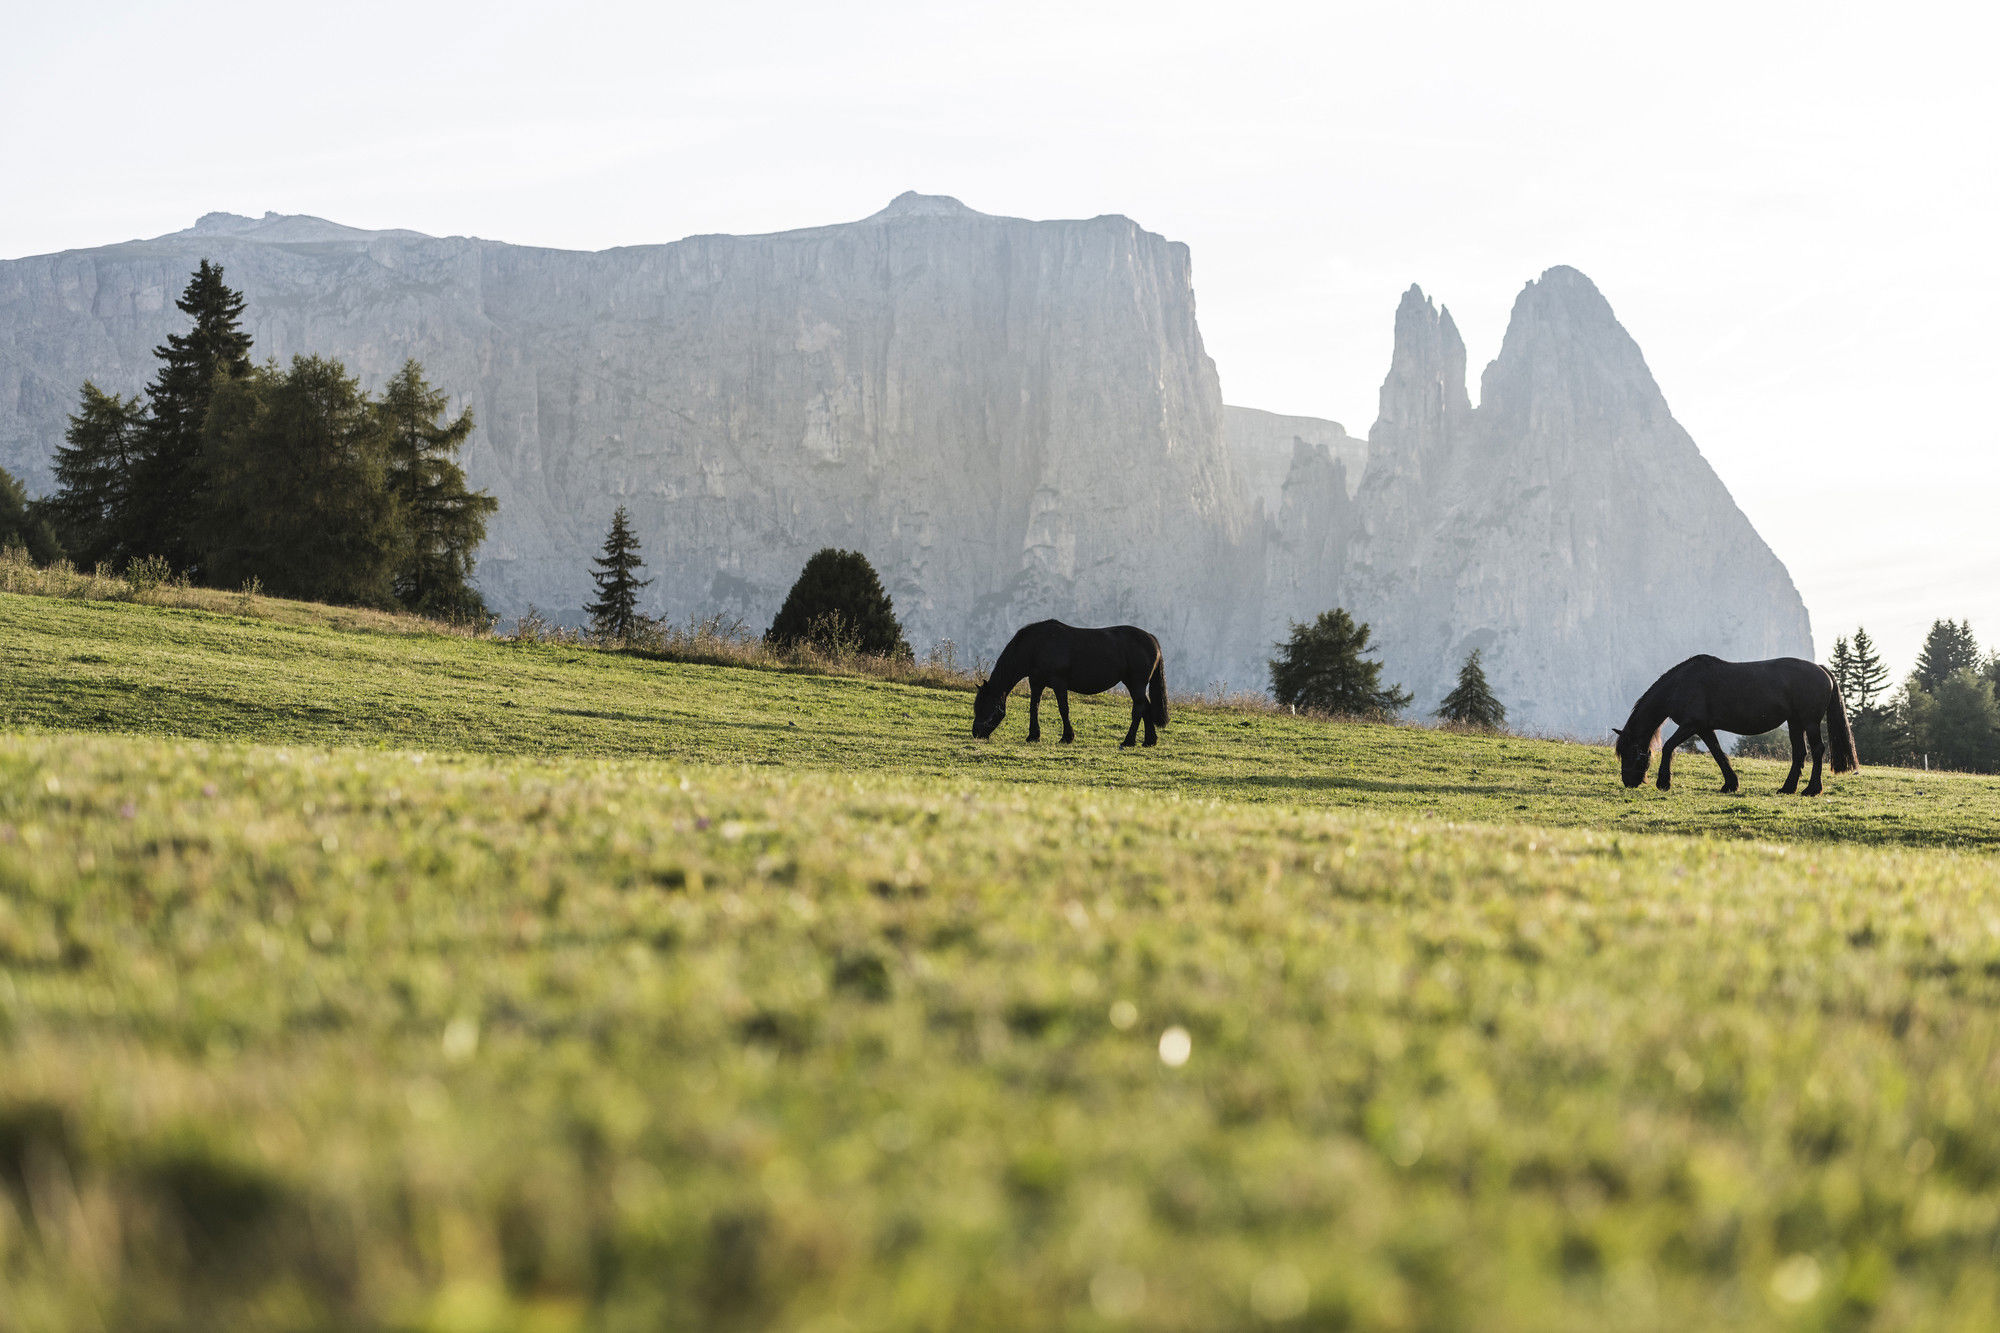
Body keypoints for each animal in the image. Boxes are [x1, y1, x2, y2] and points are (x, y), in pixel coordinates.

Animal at [971, 621, 1169, 747]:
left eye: (986, 707)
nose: (976, 733)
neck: (1037, 645)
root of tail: (1152, 639)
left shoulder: (1059, 684)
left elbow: (1063, 709)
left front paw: (1067, 737)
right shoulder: (1036, 683)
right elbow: (1034, 707)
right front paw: (1033, 736)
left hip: (1136, 684)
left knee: (1139, 709)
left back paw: (1128, 741)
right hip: (1133, 683)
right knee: (1146, 707)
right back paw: (1149, 741)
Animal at [1613, 655, 1858, 795]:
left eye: (1630, 752)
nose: (1629, 781)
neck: (1680, 685)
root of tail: (1821, 669)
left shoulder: (1691, 725)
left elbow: (1668, 747)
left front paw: (1664, 782)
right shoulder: (1704, 728)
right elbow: (1718, 753)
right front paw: (1730, 784)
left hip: (1809, 721)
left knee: (1817, 750)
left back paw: (1812, 789)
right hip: (1795, 722)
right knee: (1799, 752)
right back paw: (1788, 788)